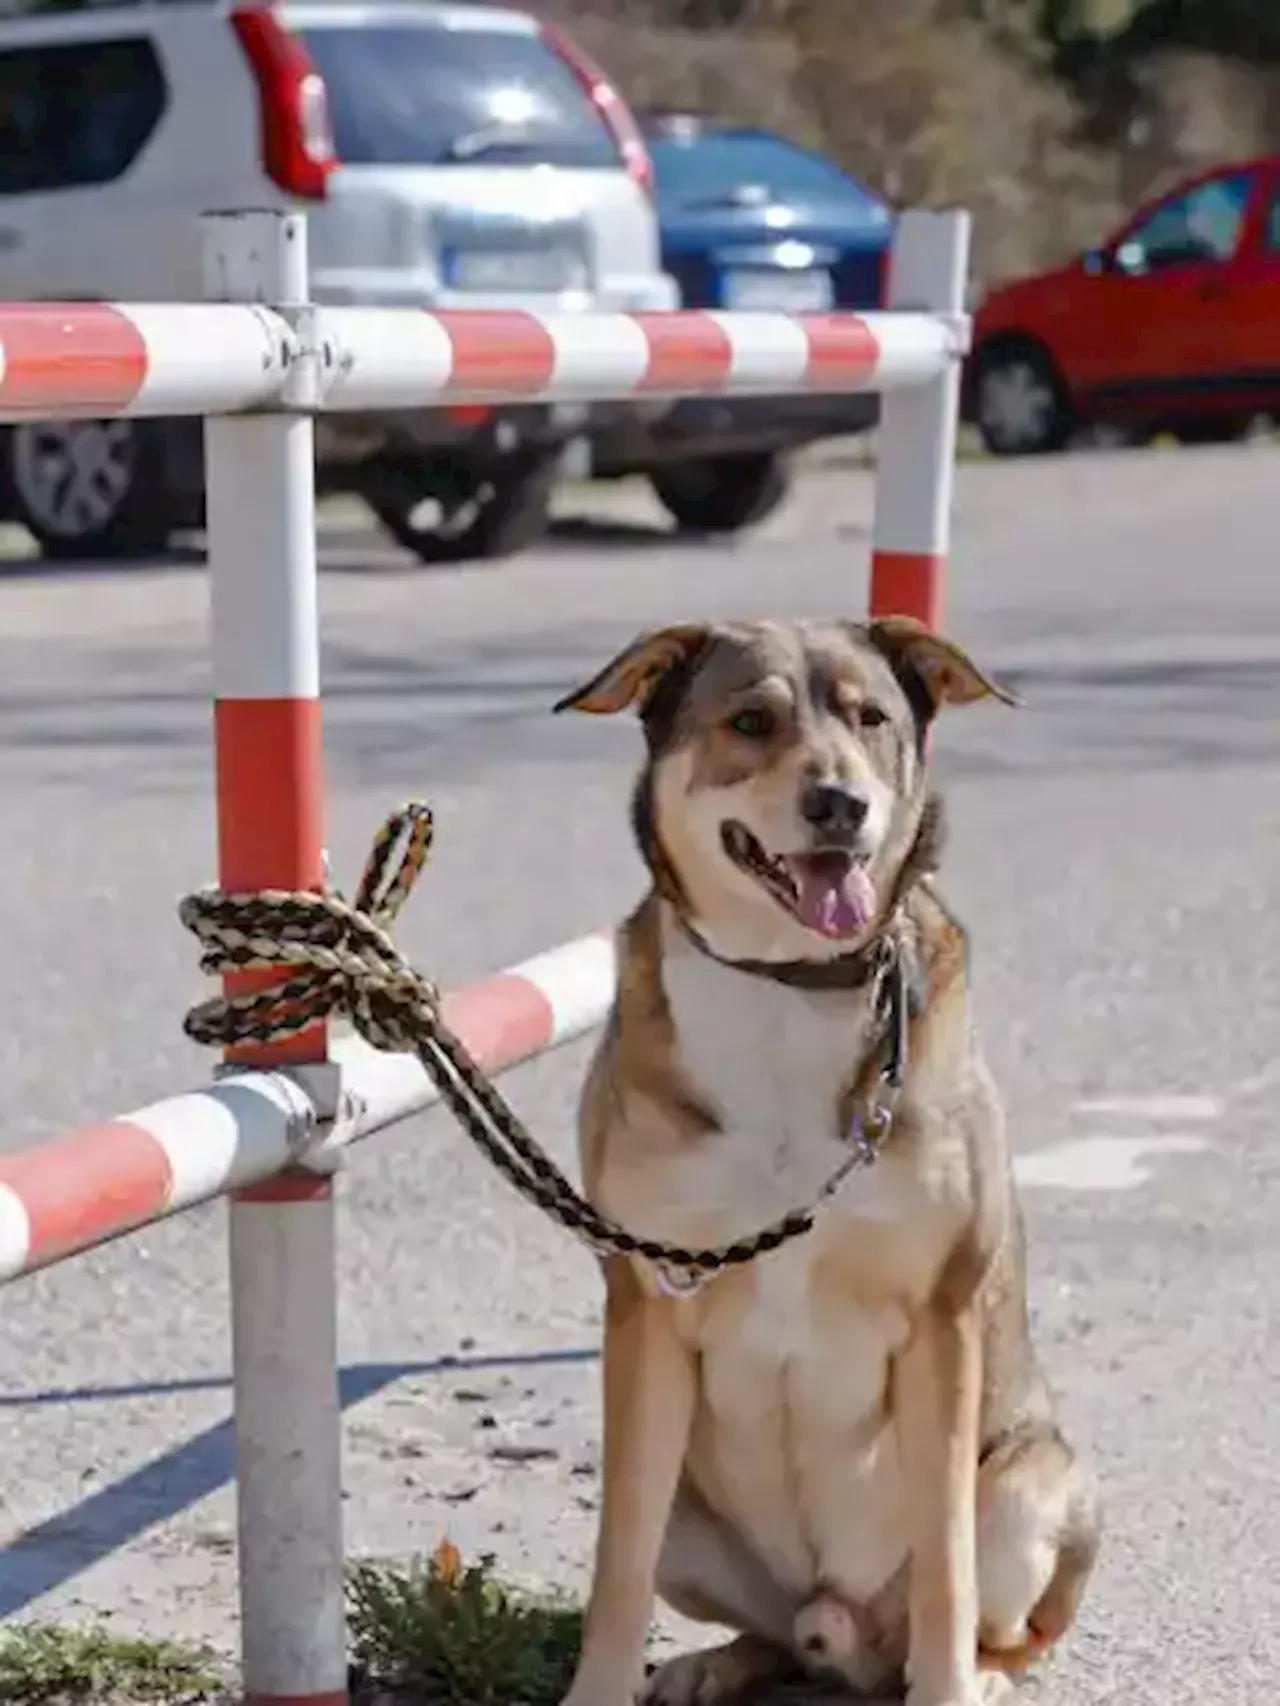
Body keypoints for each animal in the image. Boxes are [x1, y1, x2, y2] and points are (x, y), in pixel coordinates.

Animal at [552, 620, 1105, 1706]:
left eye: (870, 717)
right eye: (750, 721)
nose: (839, 804)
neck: (787, 983)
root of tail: (842, 1629)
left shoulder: (941, 1320)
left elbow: (945, 1563)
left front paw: (948, 1688)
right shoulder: (645, 1304)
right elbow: (616, 1558)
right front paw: (600, 1688)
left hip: (1039, 1483)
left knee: (996, 1622)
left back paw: (974, 1675)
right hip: (692, 1514)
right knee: (766, 1627)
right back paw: (718, 1660)